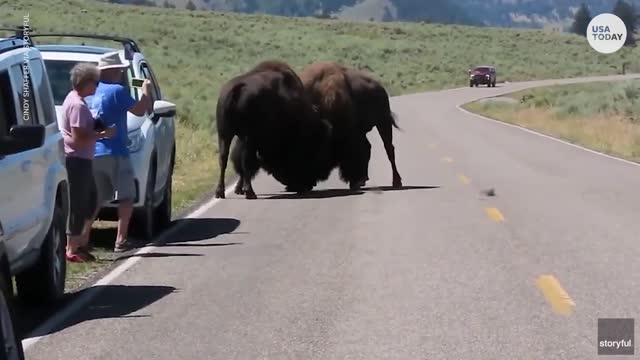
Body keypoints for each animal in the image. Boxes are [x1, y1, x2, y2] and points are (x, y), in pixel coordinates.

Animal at [216, 59, 336, 200]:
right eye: (312, 153)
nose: (311, 184)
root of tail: (237, 89)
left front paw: (238, 189)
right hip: (246, 138)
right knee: (245, 161)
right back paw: (250, 192)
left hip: (224, 135)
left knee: (224, 159)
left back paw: (220, 192)